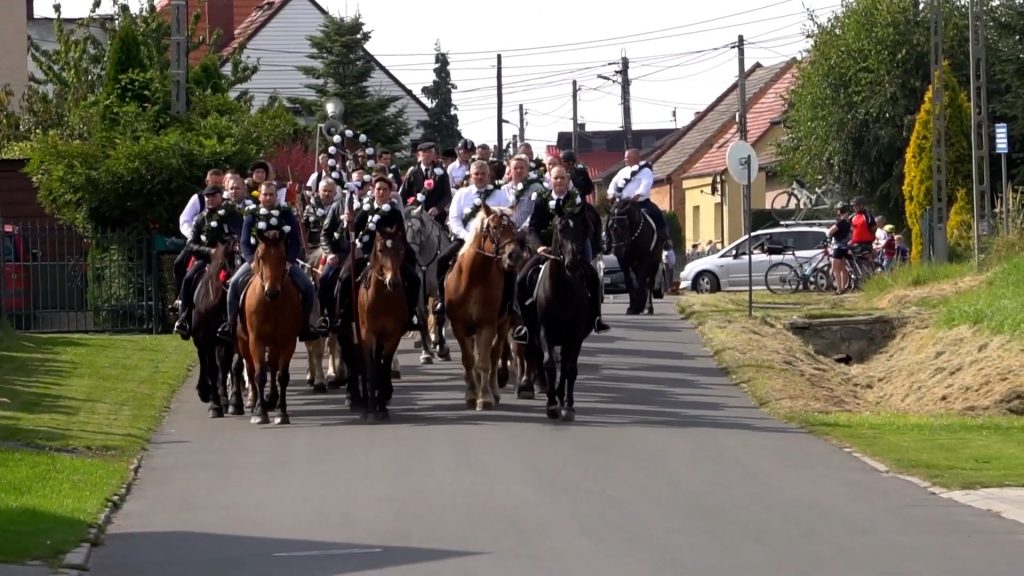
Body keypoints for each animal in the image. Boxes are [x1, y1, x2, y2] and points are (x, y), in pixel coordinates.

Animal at [190, 238, 243, 416]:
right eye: (230, 260)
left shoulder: (235, 339)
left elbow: (234, 367)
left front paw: (235, 402)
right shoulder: (206, 339)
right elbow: (211, 370)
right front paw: (214, 405)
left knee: (223, 367)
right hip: (202, 340)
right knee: (205, 361)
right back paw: (204, 392)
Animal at [237, 227, 301, 422]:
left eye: (282, 256)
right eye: (261, 256)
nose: (272, 292)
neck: (271, 305)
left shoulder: (288, 341)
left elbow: (282, 376)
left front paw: (282, 412)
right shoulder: (256, 340)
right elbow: (259, 376)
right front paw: (260, 412)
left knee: (272, 366)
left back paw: (272, 399)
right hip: (243, 343)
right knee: (251, 371)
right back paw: (255, 403)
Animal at [358, 226, 409, 420]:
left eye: (401, 249)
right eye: (380, 250)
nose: (393, 282)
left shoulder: (393, 336)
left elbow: (384, 366)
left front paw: (381, 406)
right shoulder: (368, 335)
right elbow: (371, 367)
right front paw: (371, 408)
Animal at [403, 203, 452, 360]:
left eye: (418, 230)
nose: (410, 254)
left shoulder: (438, 289)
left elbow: (440, 316)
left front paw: (442, 348)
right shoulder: (418, 292)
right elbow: (422, 318)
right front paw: (426, 353)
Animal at [444, 201, 524, 407]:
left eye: (514, 228)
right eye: (494, 228)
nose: (514, 256)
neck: (473, 278)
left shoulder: (486, 325)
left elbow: (485, 362)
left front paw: (485, 396)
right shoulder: (459, 326)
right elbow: (468, 360)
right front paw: (471, 394)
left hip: (502, 325)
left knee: (494, 355)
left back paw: (493, 391)